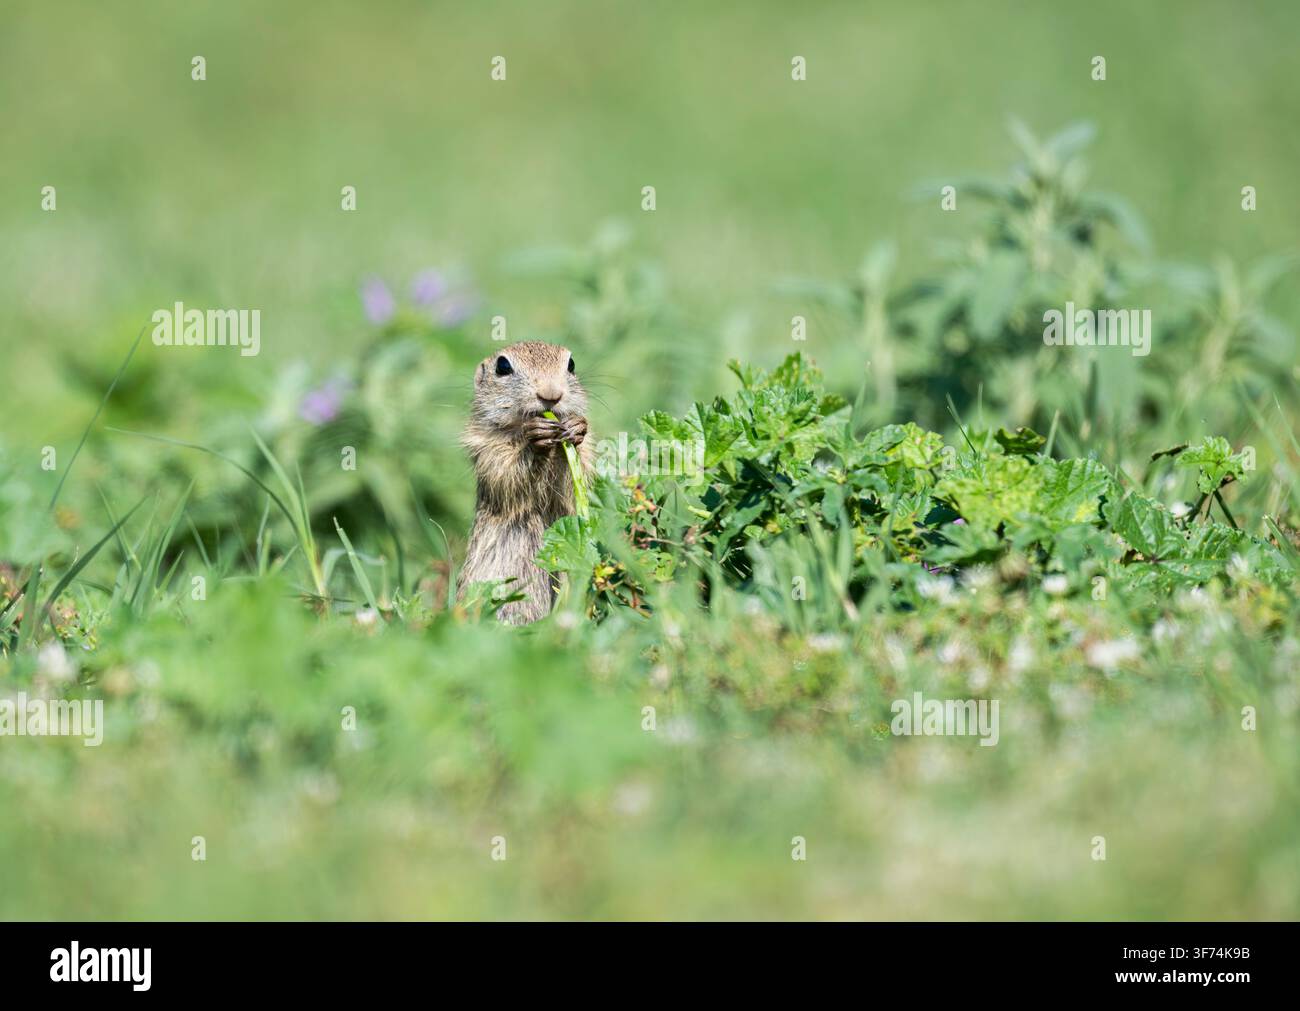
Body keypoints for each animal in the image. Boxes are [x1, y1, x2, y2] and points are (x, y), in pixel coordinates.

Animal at [456, 341, 593, 624]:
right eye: (502, 366)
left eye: (571, 364)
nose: (551, 394)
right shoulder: (488, 450)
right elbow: (507, 472)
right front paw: (536, 439)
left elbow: (575, 477)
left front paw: (577, 428)